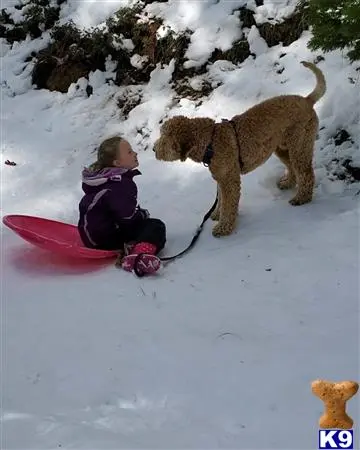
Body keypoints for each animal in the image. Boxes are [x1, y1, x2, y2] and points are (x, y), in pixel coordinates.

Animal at [153, 61, 328, 237]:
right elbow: (222, 200)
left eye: (164, 137)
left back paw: (302, 198)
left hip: (299, 146)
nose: (154, 149)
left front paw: (224, 227)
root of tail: (307, 100)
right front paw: (217, 215)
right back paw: (288, 184)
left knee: (306, 173)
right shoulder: (221, 178)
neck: (210, 141)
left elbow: (228, 204)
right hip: (282, 148)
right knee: (292, 167)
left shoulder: (229, 179)